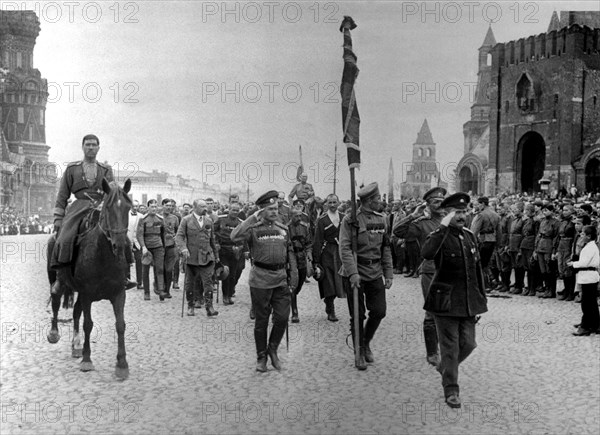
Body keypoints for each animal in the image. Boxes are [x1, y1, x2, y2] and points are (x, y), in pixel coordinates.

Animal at [46, 179, 133, 380]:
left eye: (128, 208)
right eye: (107, 207)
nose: (120, 245)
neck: (103, 255)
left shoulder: (119, 293)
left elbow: (120, 325)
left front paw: (122, 364)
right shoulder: (87, 294)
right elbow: (88, 324)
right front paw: (87, 359)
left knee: (76, 311)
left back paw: (76, 344)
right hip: (62, 281)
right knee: (55, 296)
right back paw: (54, 333)